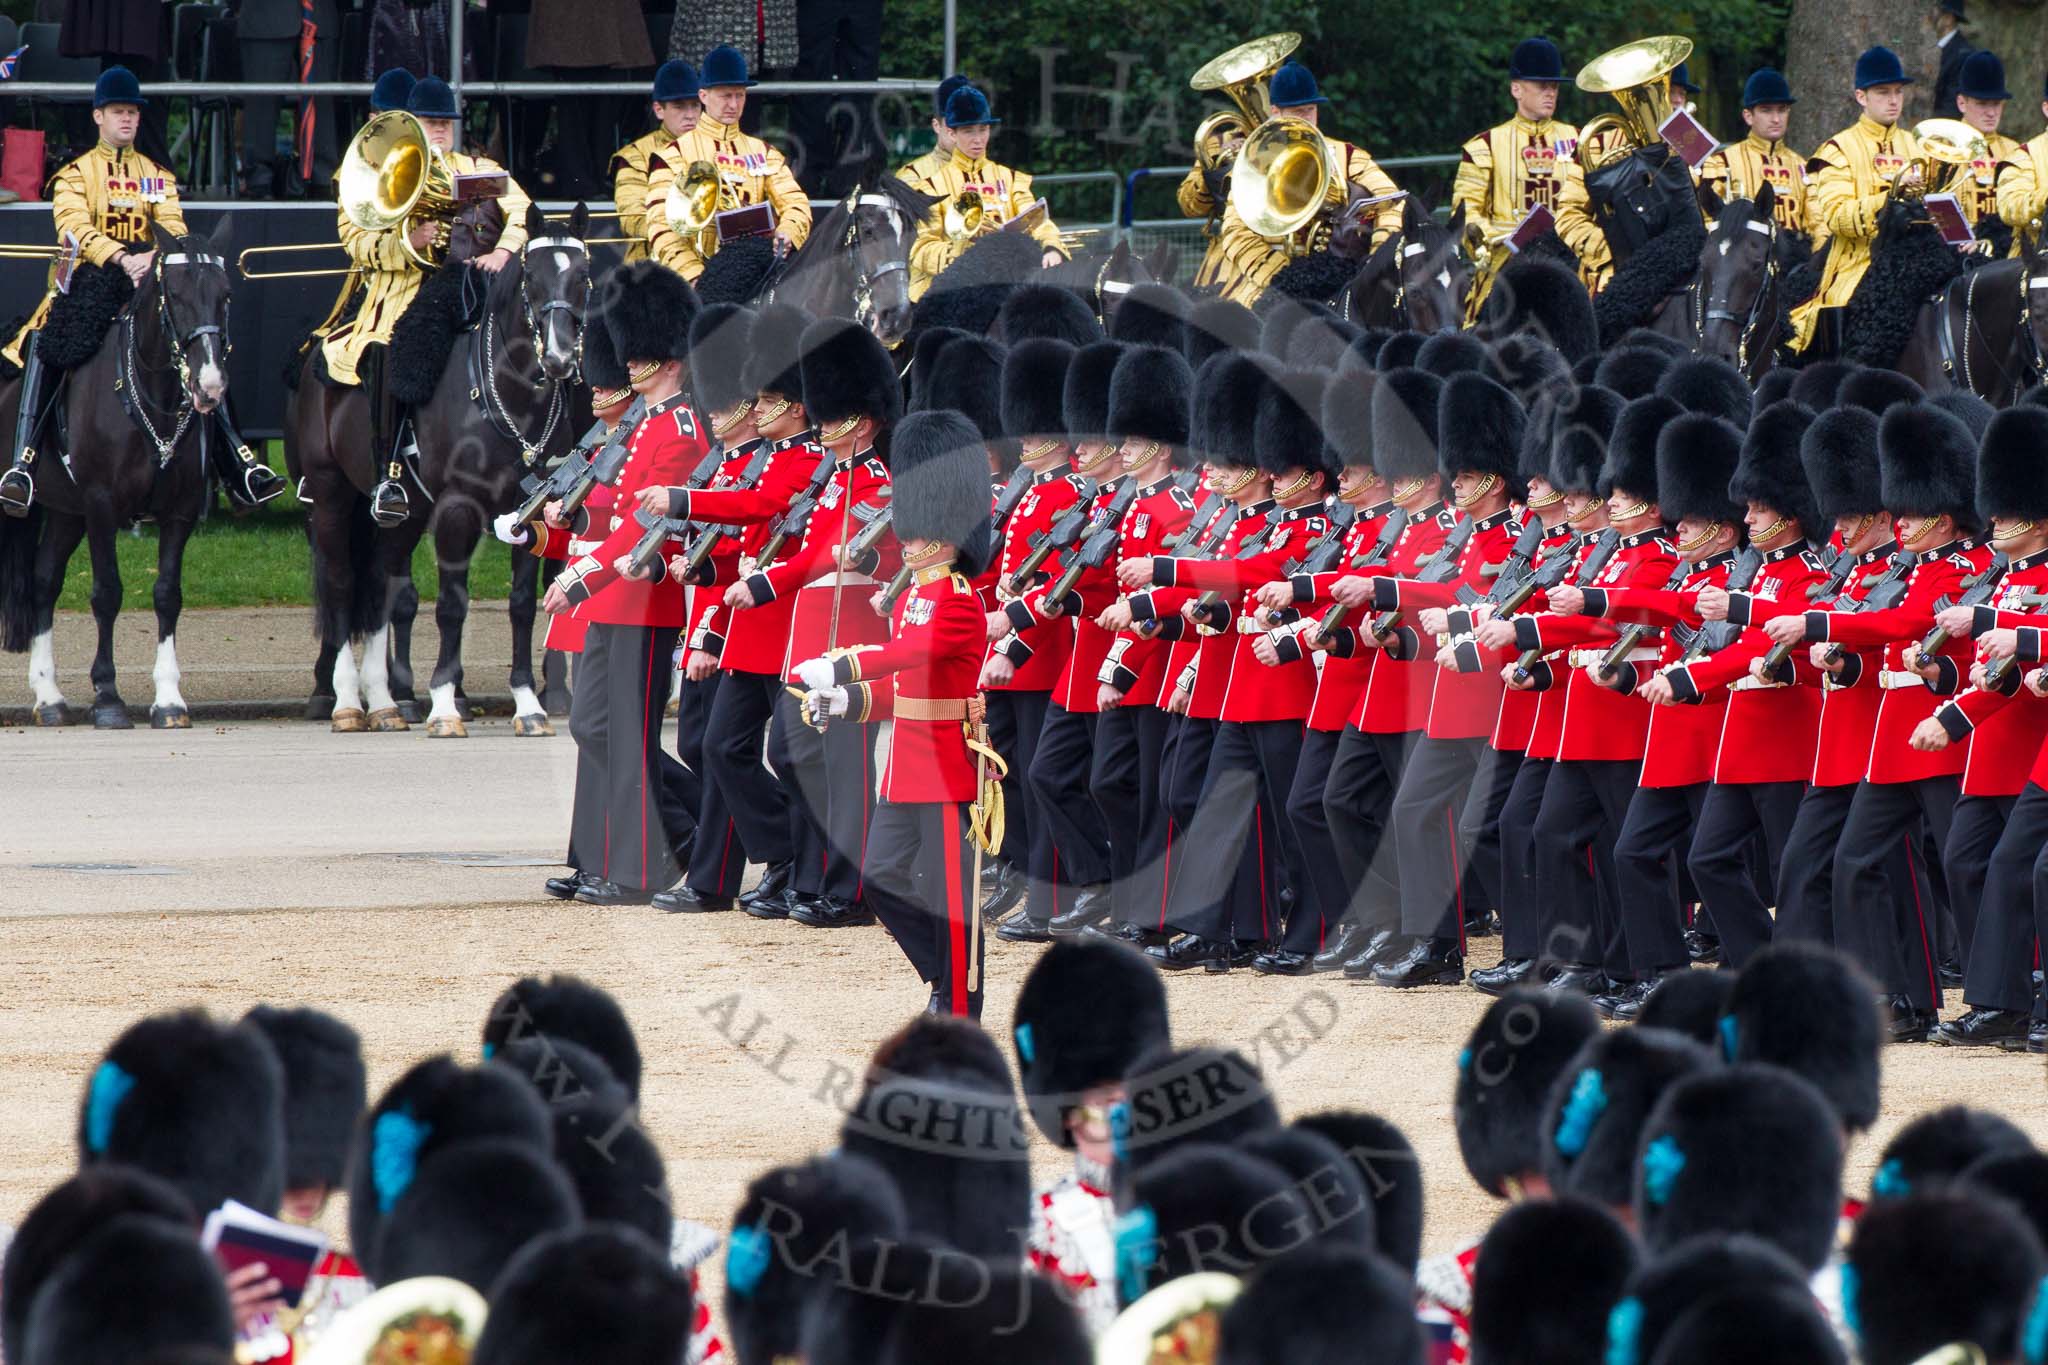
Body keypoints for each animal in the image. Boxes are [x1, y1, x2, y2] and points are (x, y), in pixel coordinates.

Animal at [0, 229, 234, 732]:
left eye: (225, 295)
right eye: (175, 296)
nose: (210, 386)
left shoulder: (179, 512)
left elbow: (167, 595)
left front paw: (169, 699)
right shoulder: (101, 506)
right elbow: (107, 593)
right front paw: (107, 696)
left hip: (64, 511)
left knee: (43, 580)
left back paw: (49, 696)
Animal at [288, 206, 593, 736]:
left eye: (582, 276)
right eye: (532, 278)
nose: (558, 358)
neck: (510, 396)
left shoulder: (529, 513)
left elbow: (521, 604)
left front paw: (528, 705)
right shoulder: (456, 510)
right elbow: (453, 604)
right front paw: (446, 704)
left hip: (403, 515)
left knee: (381, 585)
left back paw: (385, 704)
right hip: (330, 495)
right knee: (342, 585)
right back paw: (347, 701)